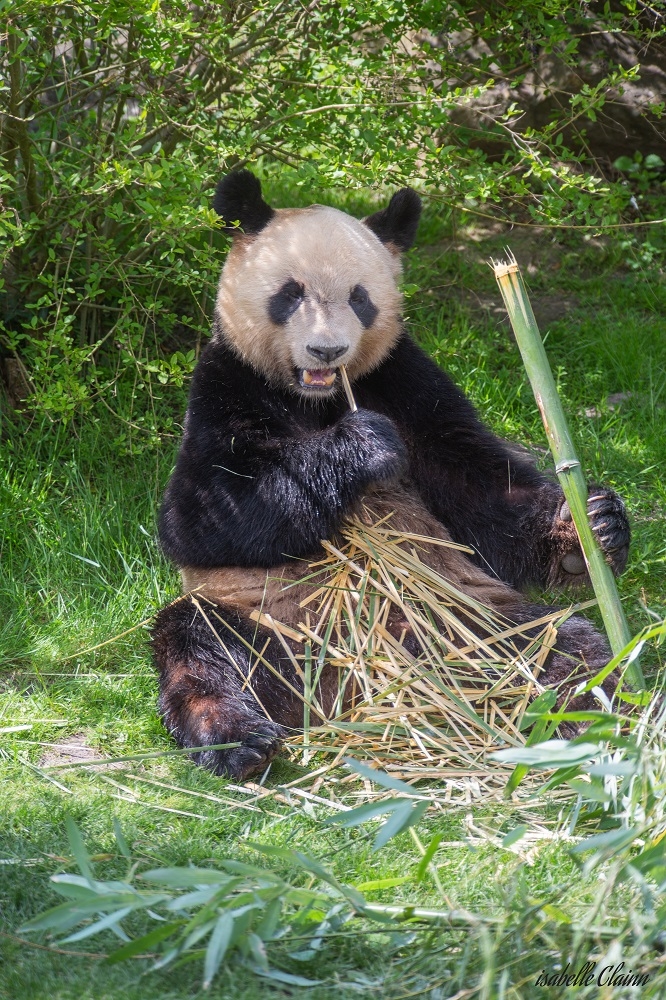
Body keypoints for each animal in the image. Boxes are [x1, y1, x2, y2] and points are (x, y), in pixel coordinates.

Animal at [152, 170, 630, 780]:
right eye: (290, 294)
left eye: (360, 298)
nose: (326, 350)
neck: (318, 400)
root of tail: (350, 687)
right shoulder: (226, 383)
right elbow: (204, 518)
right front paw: (363, 447)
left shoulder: (405, 379)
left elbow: (481, 491)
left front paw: (591, 523)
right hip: (270, 622)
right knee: (201, 649)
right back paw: (239, 743)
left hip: (468, 616)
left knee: (563, 650)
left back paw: (589, 721)